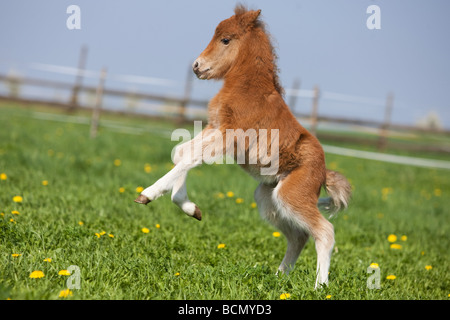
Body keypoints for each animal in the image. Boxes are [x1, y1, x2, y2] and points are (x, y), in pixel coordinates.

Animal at [135, 4, 354, 288]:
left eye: (225, 39)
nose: (197, 66)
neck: (247, 87)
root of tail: (324, 172)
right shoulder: (215, 127)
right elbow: (181, 153)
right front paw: (190, 208)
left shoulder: (231, 136)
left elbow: (191, 158)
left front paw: (148, 194)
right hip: (269, 197)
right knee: (299, 237)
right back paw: (277, 278)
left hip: (292, 195)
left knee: (325, 231)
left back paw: (320, 286)